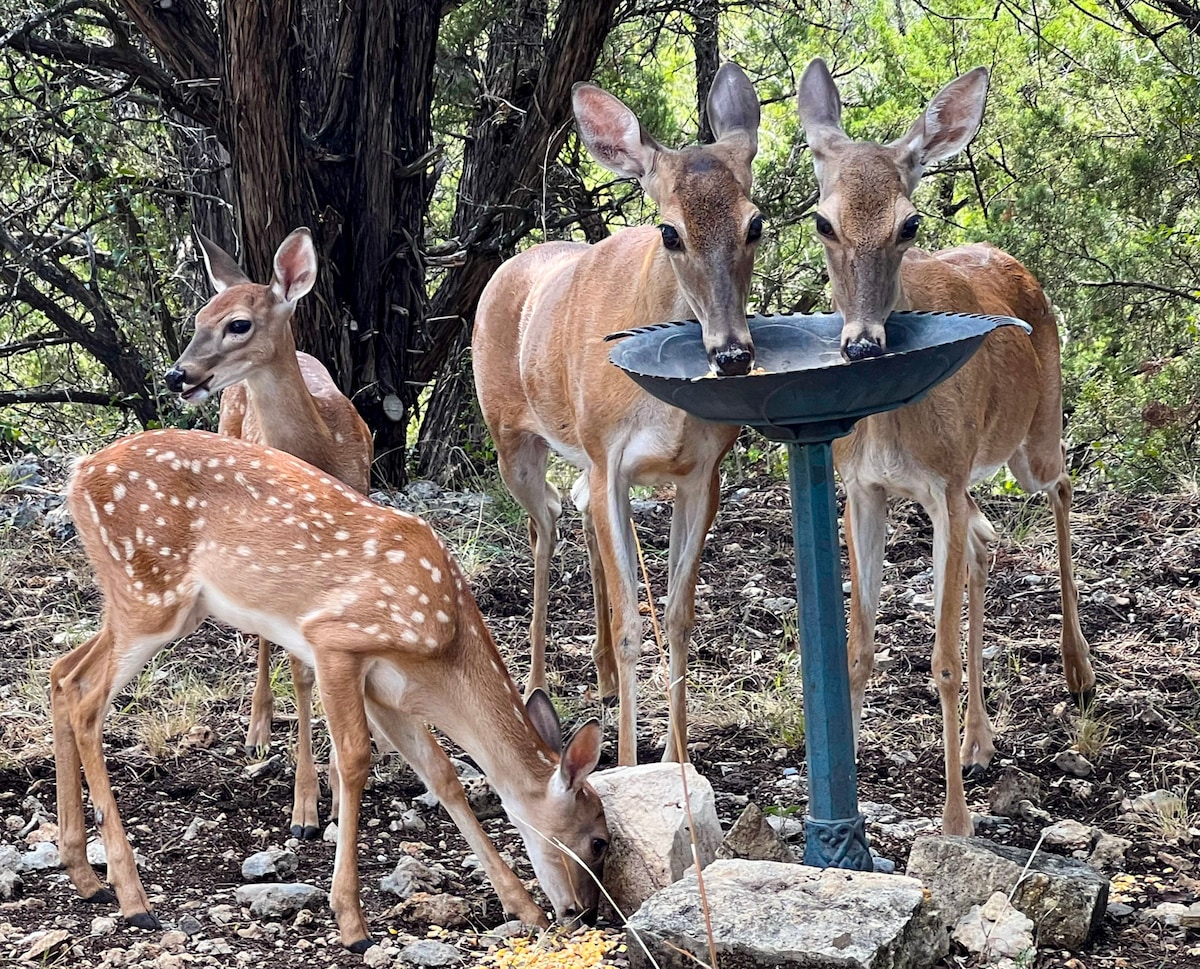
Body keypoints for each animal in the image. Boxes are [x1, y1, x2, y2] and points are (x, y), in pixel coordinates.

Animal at [50, 426, 604, 949]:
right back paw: (132, 898)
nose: (585, 914)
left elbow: (441, 773)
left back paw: (84, 876)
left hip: (157, 605)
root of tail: (78, 474)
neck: (442, 649)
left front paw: (523, 907)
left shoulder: (388, 691)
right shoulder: (336, 641)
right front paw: (352, 921)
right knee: (86, 698)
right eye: (598, 840)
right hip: (150, 595)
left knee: (63, 673)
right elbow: (356, 758)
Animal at [164, 229, 369, 839]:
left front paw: (336, 783)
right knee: (260, 633)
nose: (178, 375)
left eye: (238, 324)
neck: (322, 453)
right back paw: (257, 726)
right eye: (198, 317)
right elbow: (302, 672)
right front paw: (307, 807)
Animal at [472, 64, 763, 767]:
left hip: (584, 456)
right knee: (545, 519)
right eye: (670, 231)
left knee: (574, 507)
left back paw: (601, 677)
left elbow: (679, 617)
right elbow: (636, 621)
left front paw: (678, 757)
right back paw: (536, 682)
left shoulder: (701, 472)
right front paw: (630, 761)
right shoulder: (612, 457)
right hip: (512, 437)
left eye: (755, 223)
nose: (733, 354)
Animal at [796, 58, 1099, 834]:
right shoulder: (866, 488)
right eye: (822, 220)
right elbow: (858, 648)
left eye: (910, 221)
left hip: (1030, 439)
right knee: (990, 543)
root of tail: (1014, 261)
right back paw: (981, 740)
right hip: (969, 481)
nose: (862, 343)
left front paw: (956, 822)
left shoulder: (943, 480)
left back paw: (1077, 668)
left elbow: (938, 660)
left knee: (1062, 487)